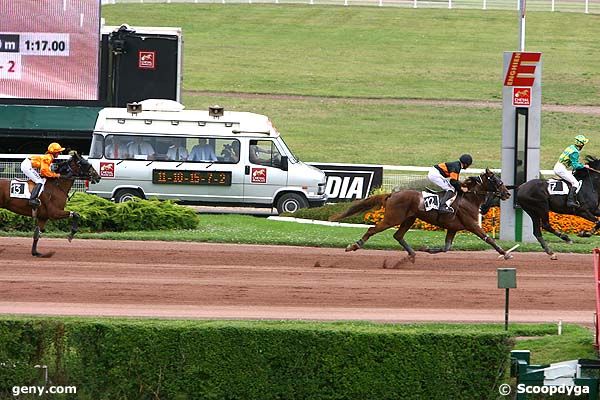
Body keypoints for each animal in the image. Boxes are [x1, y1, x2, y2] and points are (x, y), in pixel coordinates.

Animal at [330, 169, 512, 266]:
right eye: (497, 181)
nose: (507, 193)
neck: (469, 199)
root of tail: (392, 194)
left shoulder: (452, 228)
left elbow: (446, 248)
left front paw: (426, 249)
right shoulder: (472, 225)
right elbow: (489, 239)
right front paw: (505, 254)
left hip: (409, 219)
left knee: (398, 235)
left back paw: (412, 254)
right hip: (393, 218)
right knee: (372, 229)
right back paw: (354, 246)